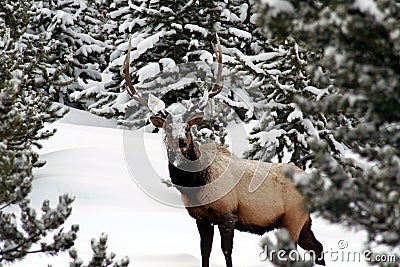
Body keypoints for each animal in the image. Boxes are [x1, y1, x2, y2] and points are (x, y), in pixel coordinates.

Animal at [122, 34, 324, 266]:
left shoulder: (228, 214)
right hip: (304, 222)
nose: (180, 143)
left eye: (188, 127)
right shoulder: (201, 218)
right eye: (167, 128)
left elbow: (226, 252)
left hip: (293, 218)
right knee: (318, 248)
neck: (195, 184)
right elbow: (205, 252)